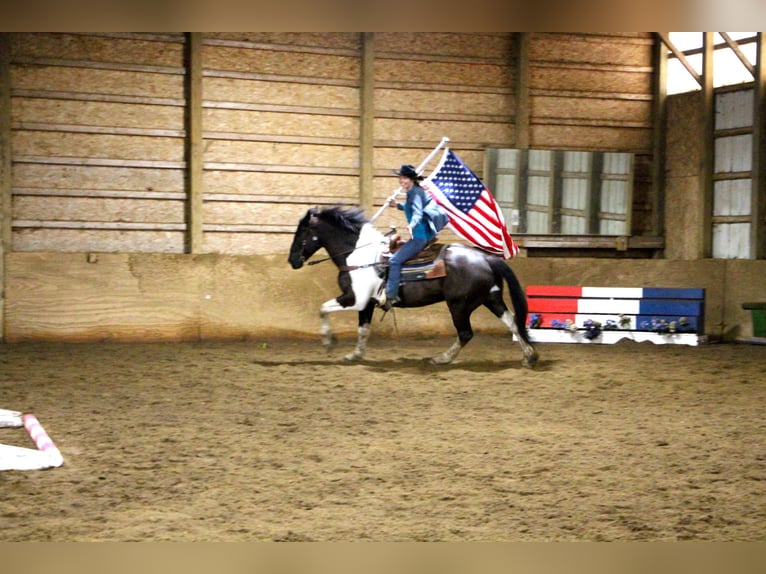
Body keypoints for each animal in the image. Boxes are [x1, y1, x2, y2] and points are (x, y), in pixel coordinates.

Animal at [288, 207, 540, 368]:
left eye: (302, 233)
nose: (292, 261)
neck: (357, 254)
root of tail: (486, 258)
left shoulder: (353, 298)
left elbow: (322, 308)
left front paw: (328, 343)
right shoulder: (366, 303)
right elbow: (363, 330)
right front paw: (354, 355)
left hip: (459, 305)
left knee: (466, 333)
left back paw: (441, 359)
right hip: (491, 299)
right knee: (512, 322)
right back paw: (529, 356)